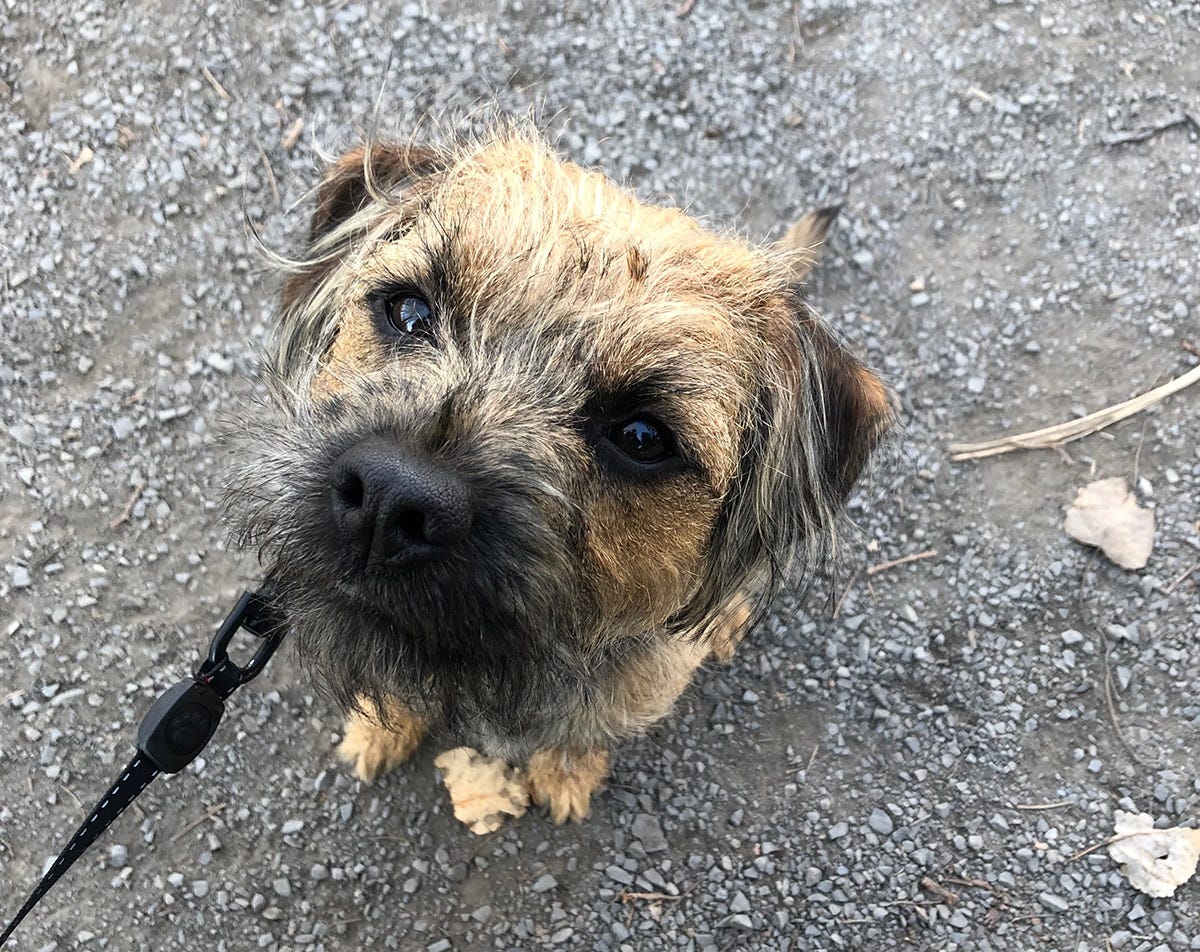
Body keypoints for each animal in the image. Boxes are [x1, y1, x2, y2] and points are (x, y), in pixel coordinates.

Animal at [226, 126, 892, 825]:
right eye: (408, 311)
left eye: (642, 437)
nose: (391, 497)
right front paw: (380, 730)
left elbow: (580, 733)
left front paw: (565, 776)